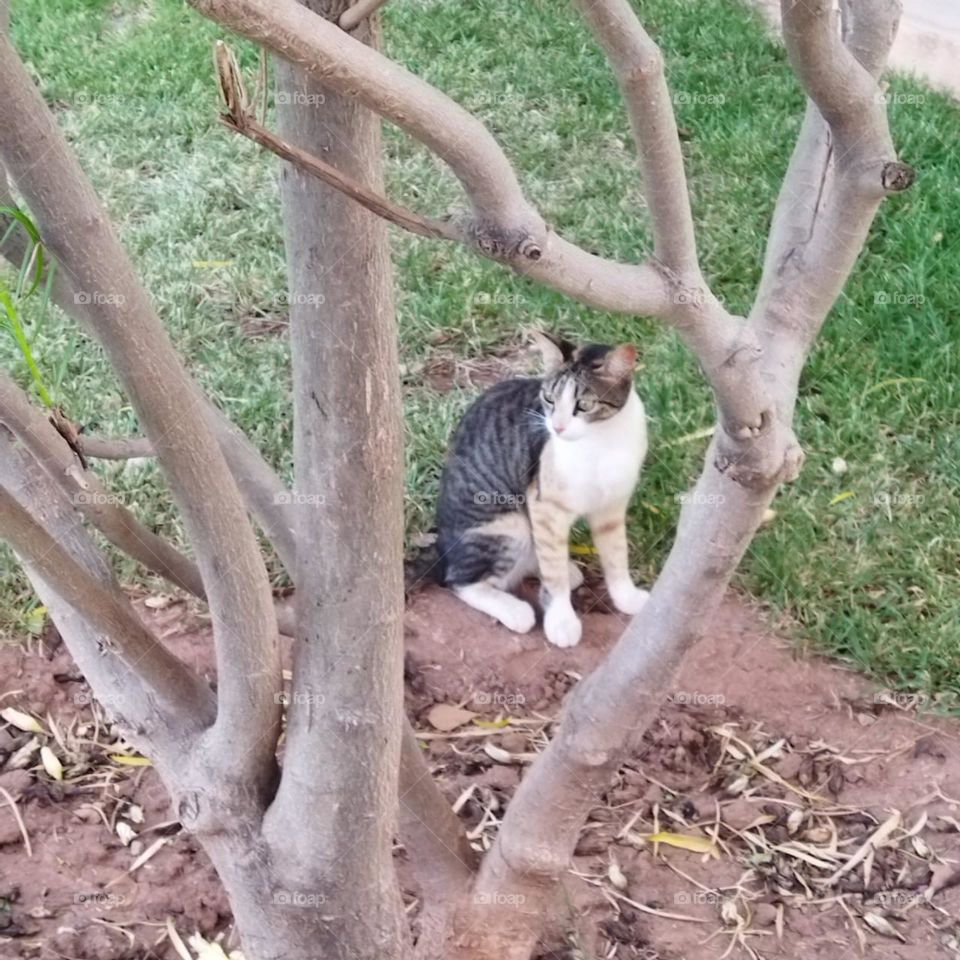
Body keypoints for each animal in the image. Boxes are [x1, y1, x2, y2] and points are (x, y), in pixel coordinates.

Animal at [436, 326, 652, 648]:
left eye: (584, 405)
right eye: (549, 399)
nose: (557, 427)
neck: (602, 440)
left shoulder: (612, 506)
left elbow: (616, 556)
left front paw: (626, 597)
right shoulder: (544, 506)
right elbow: (553, 571)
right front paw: (561, 622)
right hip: (508, 525)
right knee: (460, 580)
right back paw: (514, 610)